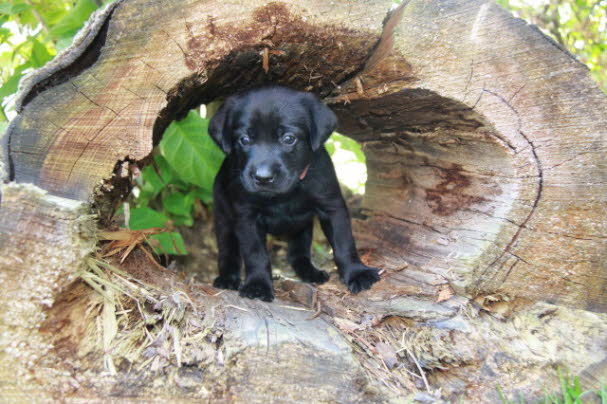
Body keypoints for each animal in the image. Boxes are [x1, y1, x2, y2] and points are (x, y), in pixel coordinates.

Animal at [209, 87, 380, 302]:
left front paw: (357, 273)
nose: (263, 177)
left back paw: (310, 272)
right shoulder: (246, 218)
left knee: (298, 253)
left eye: (288, 138)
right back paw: (227, 278)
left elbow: (344, 243)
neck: (285, 194)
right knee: (227, 250)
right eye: (244, 140)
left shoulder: (332, 207)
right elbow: (255, 254)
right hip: (223, 216)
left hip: (301, 226)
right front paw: (258, 285)